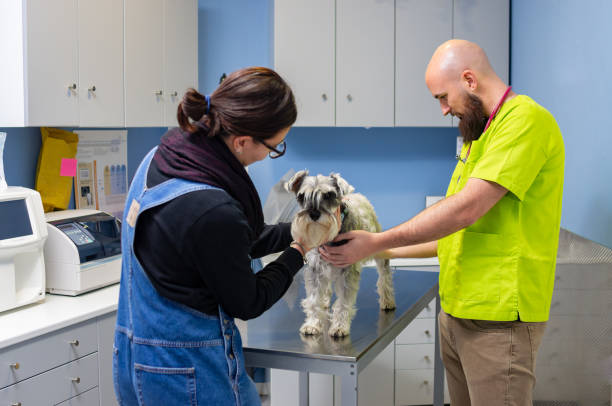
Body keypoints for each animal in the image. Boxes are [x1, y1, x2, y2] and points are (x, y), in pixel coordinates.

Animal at [286, 170, 396, 338]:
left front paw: (339, 326)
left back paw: (388, 301)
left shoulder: (347, 271)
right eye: (302, 196)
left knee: (385, 276)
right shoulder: (315, 270)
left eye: (328, 195)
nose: (314, 214)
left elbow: (344, 301)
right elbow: (313, 300)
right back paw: (325, 301)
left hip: (379, 250)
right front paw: (312, 324)